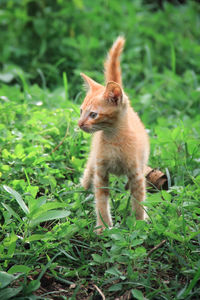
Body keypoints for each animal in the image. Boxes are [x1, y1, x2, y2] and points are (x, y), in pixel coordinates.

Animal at [77, 35, 148, 232]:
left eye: (93, 114)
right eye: (81, 111)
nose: (79, 124)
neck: (113, 139)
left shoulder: (137, 174)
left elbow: (138, 201)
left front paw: (139, 224)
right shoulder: (101, 172)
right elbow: (101, 201)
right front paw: (103, 227)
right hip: (93, 161)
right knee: (88, 174)